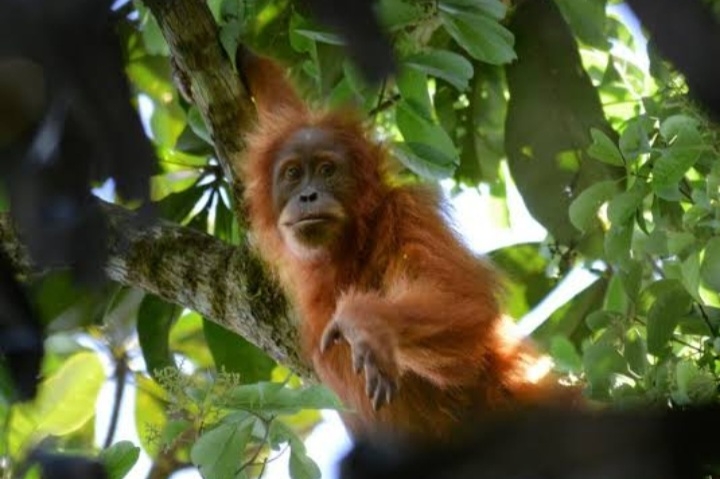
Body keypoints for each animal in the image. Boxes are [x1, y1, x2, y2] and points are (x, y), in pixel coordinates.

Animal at [238, 50, 580, 440]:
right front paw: (252, 64)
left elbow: (460, 298)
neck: (354, 245)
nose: (308, 195)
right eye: (293, 174)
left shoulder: (409, 214)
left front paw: (367, 324)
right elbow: (282, 106)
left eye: (327, 170)